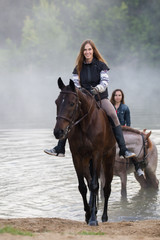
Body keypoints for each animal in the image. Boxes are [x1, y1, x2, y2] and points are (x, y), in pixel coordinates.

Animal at [54, 77, 116, 225]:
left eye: (72, 103)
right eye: (56, 102)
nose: (58, 132)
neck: (85, 124)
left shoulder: (97, 154)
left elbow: (94, 186)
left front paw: (93, 219)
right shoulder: (77, 156)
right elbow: (83, 186)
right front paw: (88, 214)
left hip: (108, 158)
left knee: (106, 188)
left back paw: (104, 217)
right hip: (88, 160)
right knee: (90, 182)